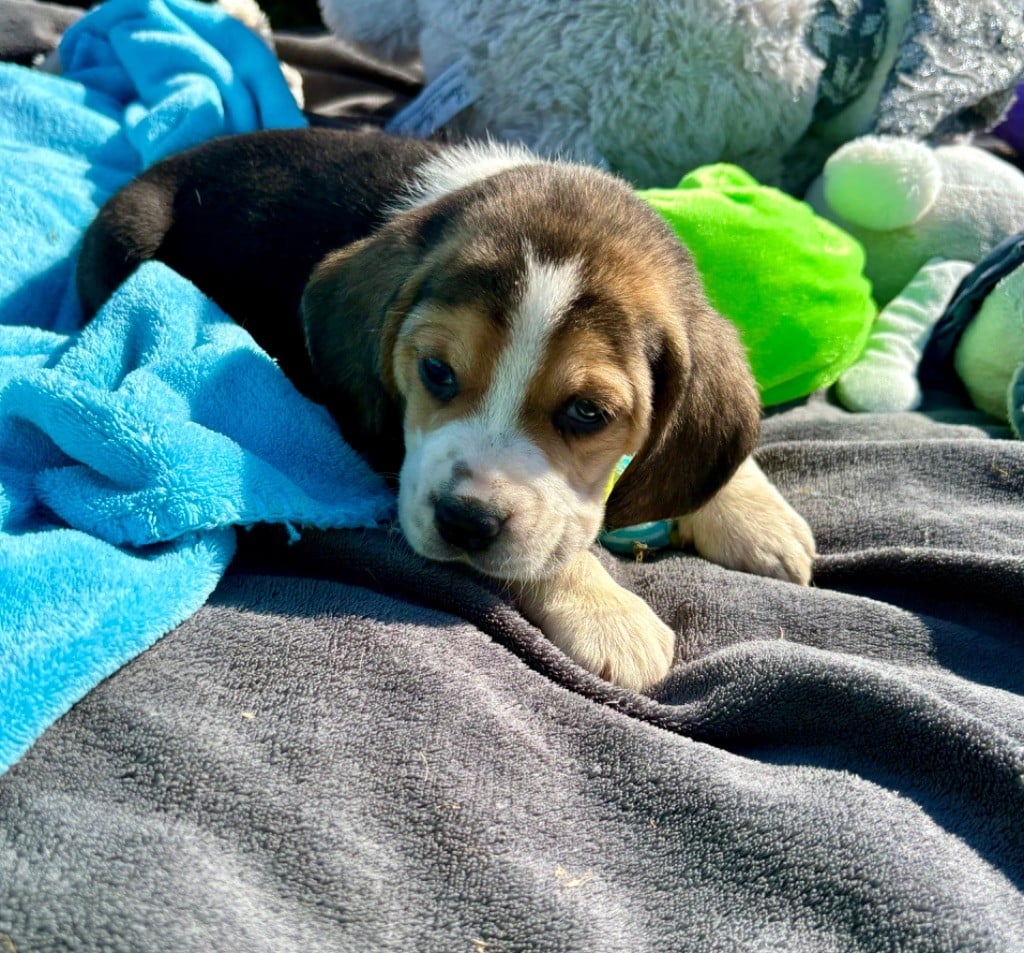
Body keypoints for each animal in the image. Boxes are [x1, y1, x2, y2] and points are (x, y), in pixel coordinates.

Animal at [77, 128, 815, 691]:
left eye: (587, 413)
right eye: (436, 371)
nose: (465, 521)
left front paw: (754, 512)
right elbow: (549, 548)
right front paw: (608, 614)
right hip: (130, 237)